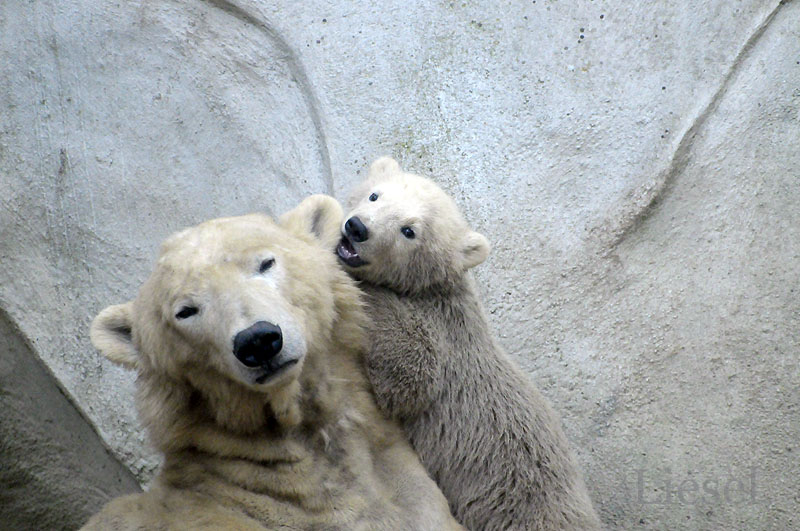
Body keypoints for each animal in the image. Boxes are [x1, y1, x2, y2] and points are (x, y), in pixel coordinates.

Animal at [332, 159, 600, 531]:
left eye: (408, 230)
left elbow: (410, 376)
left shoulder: (442, 333)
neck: (431, 289)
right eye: (375, 195)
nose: (357, 228)